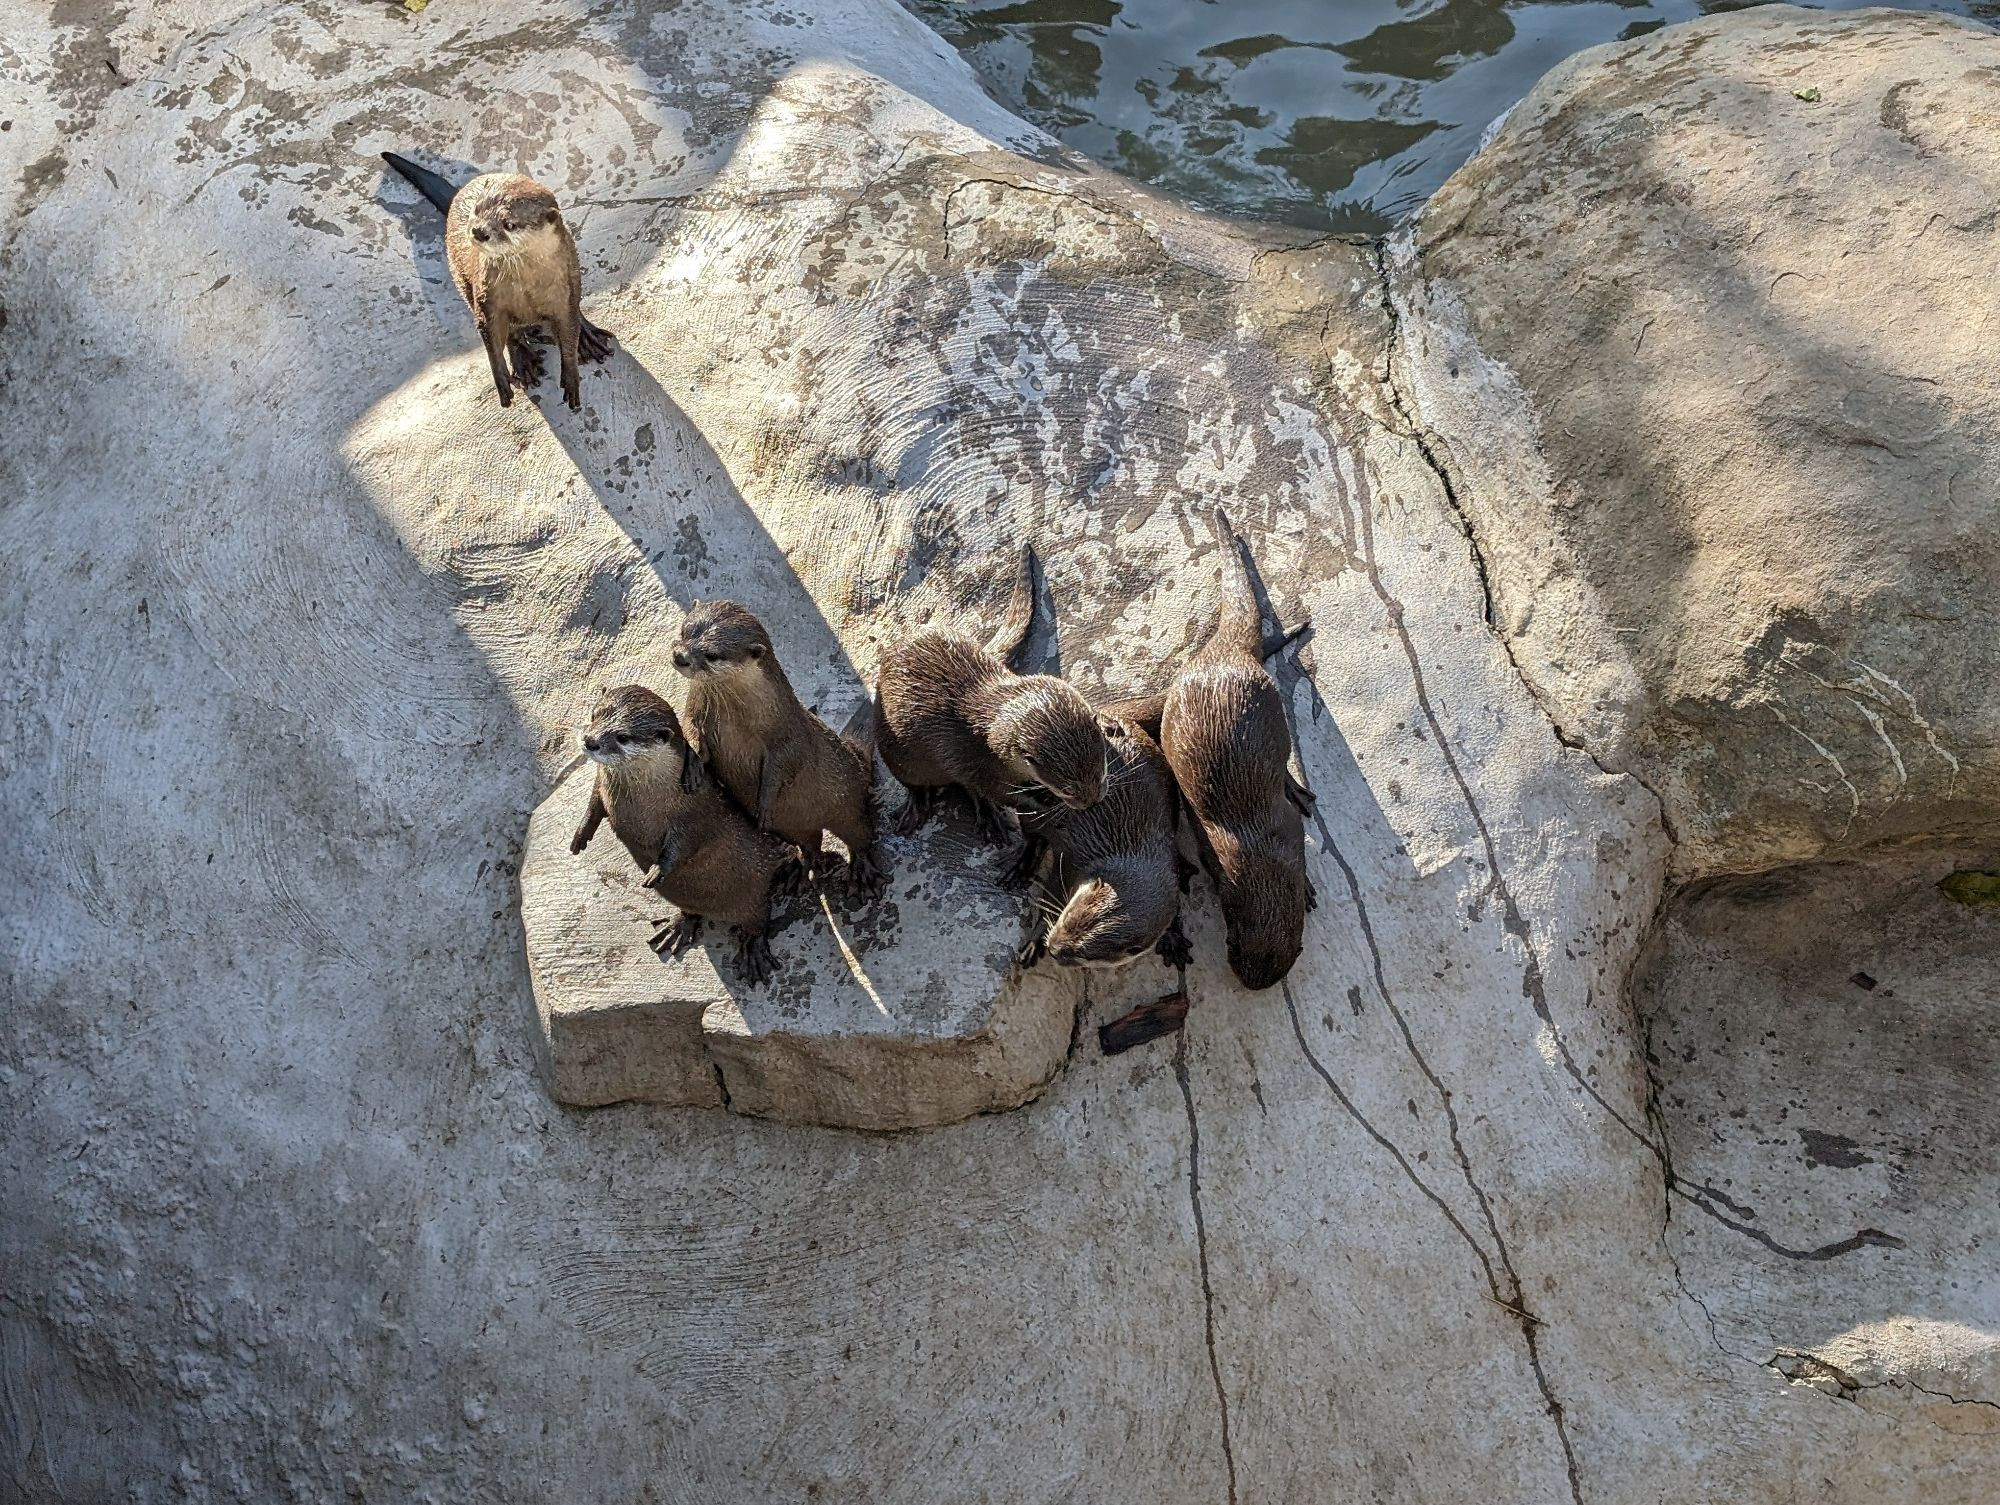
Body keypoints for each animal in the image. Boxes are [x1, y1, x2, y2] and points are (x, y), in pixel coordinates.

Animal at [380, 153, 612, 412]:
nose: (479, 231)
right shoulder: (487, 298)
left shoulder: (564, 293)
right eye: (477, 208)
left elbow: (568, 325)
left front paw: (571, 377)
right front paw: (502, 378)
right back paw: (523, 360)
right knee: (510, 330)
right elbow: (490, 332)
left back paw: (588, 339)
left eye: (509, 224)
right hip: (463, 281)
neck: (527, 289)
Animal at [568, 684, 792, 988]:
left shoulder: (694, 810)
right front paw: (580, 836)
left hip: (754, 890)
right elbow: (594, 805)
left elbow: (687, 842)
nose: (590, 741)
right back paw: (677, 927)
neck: (650, 795)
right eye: (595, 715)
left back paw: (752, 951)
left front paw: (657, 870)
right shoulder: (603, 783)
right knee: (691, 911)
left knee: (759, 918)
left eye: (622, 737)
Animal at [668, 604, 880, 900]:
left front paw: (765, 803)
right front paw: (693, 767)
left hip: (847, 802)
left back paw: (861, 872)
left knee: (859, 834)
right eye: (684, 631)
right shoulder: (696, 710)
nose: (680, 656)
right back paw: (801, 871)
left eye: (712, 654)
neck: (738, 715)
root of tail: (858, 759)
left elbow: (785, 761)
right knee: (810, 843)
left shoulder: (786, 731)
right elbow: (689, 733)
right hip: (791, 828)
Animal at [876, 544, 1120, 848]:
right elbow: (998, 793)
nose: (1092, 801)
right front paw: (1048, 804)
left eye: (1101, 772)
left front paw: (1107, 721)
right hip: (894, 752)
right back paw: (921, 808)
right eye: (1069, 790)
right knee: (919, 783)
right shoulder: (978, 763)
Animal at [1016, 708, 1184, 976]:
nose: (1054, 949)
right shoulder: (1069, 860)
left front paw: (1174, 936)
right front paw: (1035, 941)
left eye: (1084, 953)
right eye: (1068, 919)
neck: (1128, 853)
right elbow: (1049, 897)